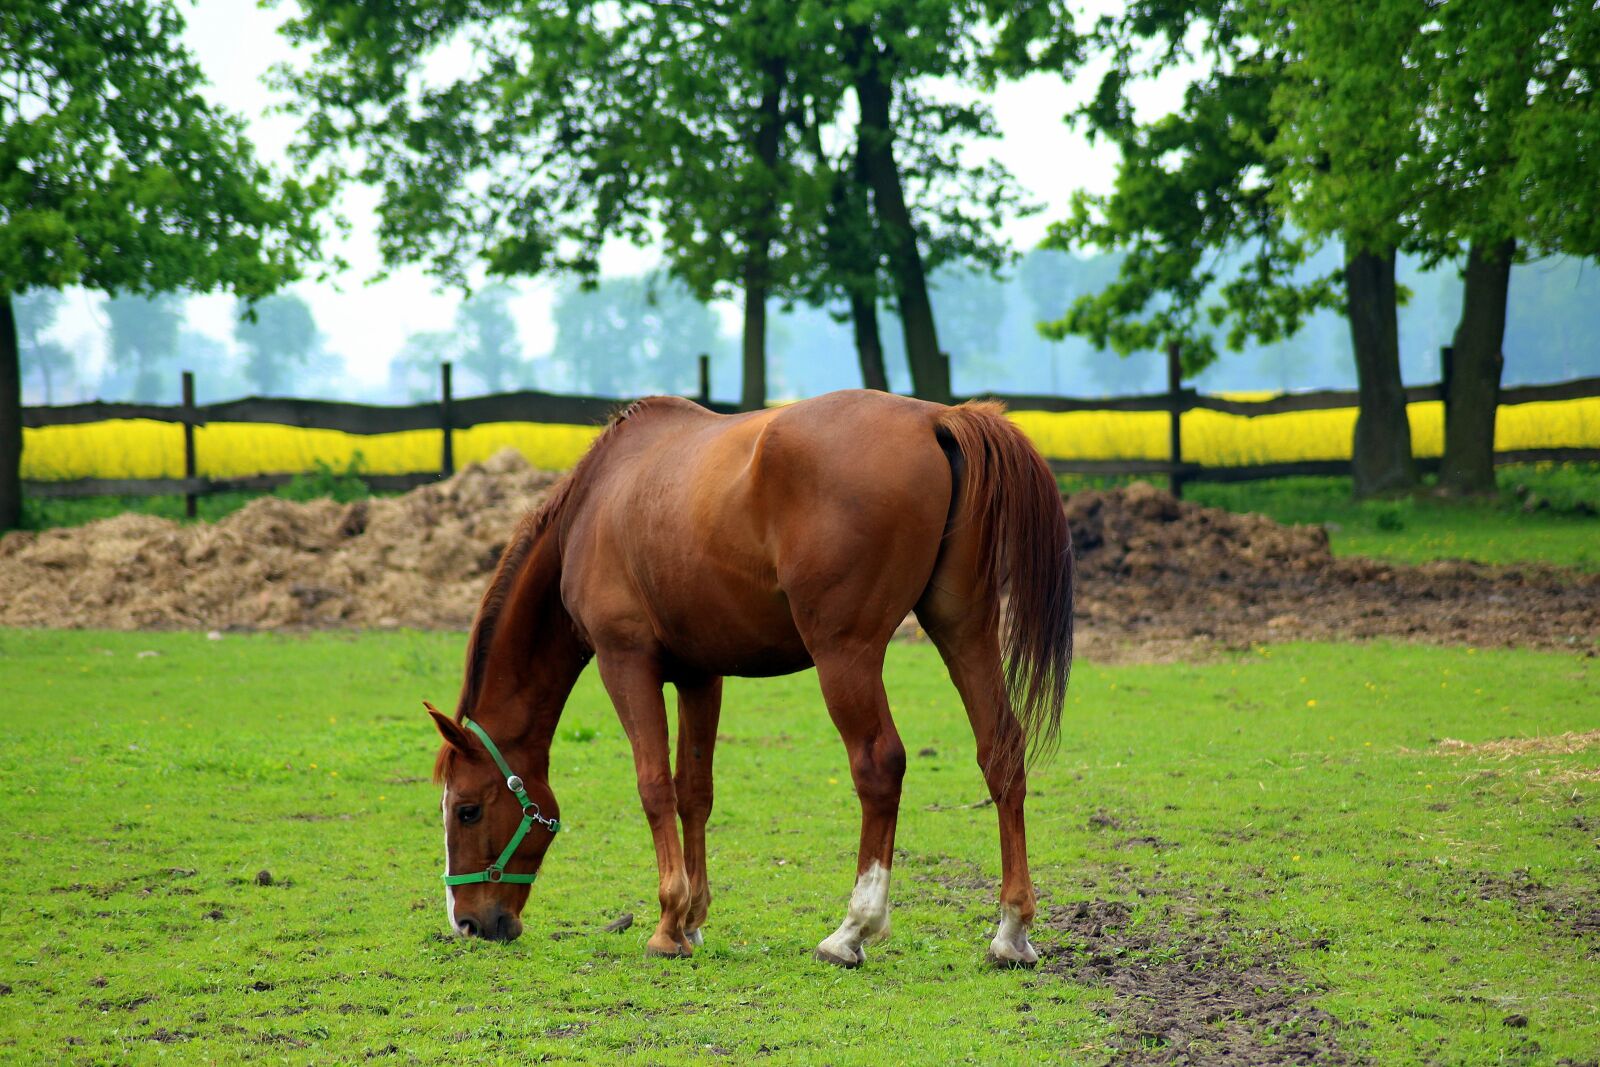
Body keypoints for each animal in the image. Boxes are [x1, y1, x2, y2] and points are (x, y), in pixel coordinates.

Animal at [428, 388, 1074, 966]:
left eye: (467, 810)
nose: (467, 923)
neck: (594, 507)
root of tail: (936, 418)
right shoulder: (699, 675)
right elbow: (694, 790)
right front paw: (691, 921)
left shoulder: (625, 661)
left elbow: (654, 787)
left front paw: (666, 926)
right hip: (963, 630)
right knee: (1000, 752)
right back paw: (1011, 931)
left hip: (847, 653)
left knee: (879, 765)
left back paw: (852, 930)